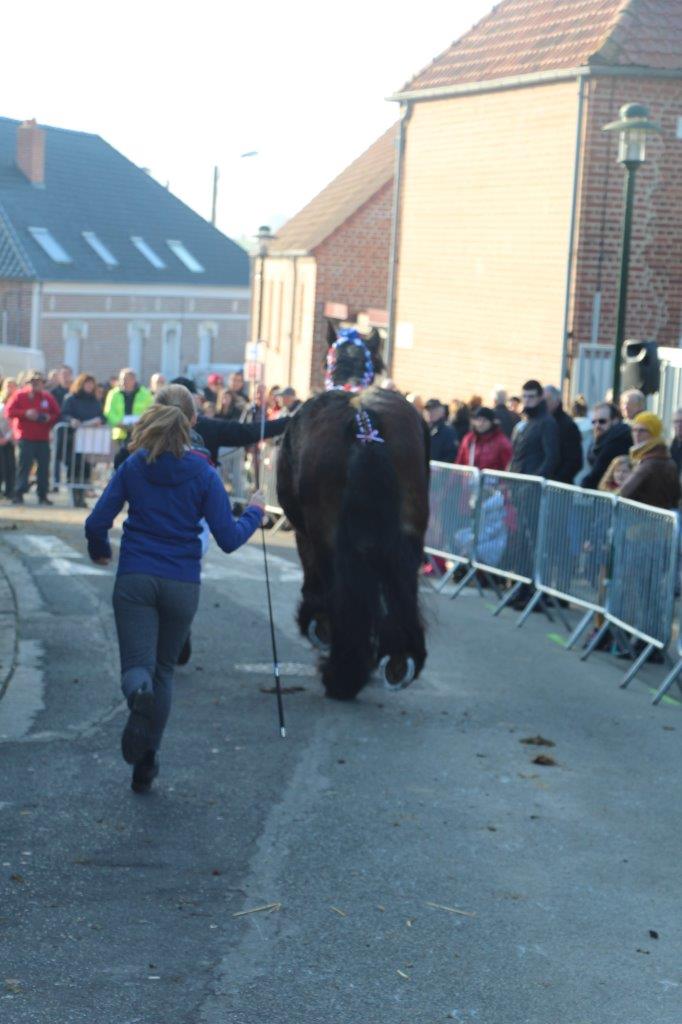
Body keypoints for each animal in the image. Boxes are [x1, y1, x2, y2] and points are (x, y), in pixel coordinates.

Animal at [274, 331, 425, 700]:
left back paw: (342, 673)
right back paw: (399, 658)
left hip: (328, 536)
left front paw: (318, 623)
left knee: (343, 592)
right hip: (409, 532)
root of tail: (364, 422)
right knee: (403, 584)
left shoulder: (305, 535)